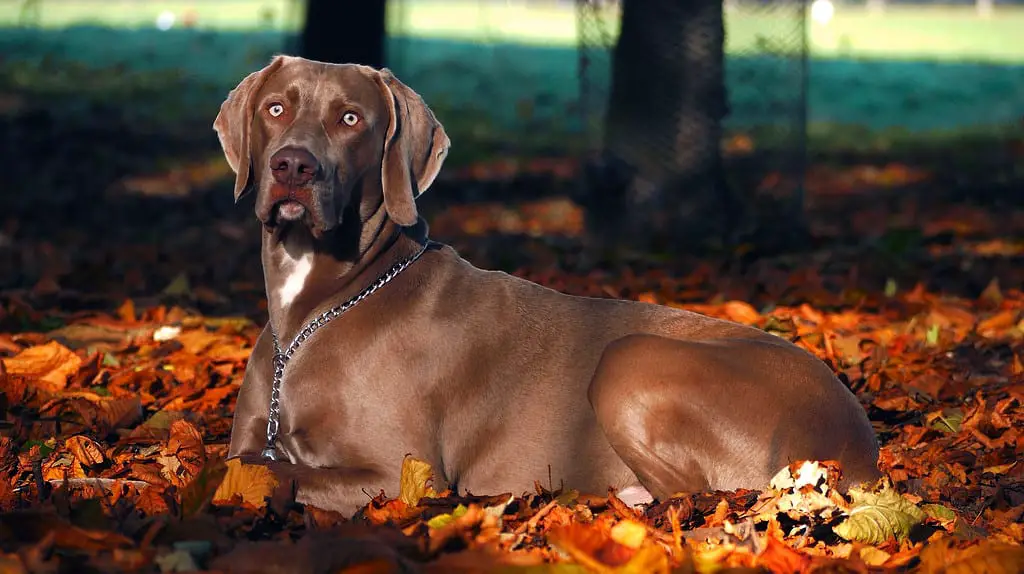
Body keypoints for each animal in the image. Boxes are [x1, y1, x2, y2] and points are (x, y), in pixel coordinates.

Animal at [214, 56, 880, 517]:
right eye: (275, 108)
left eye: (351, 119)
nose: (293, 166)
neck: (315, 311)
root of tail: (861, 448)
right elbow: (242, 461)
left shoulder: (399, 472)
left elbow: (260, 473)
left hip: (630, 359)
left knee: (693, 496)